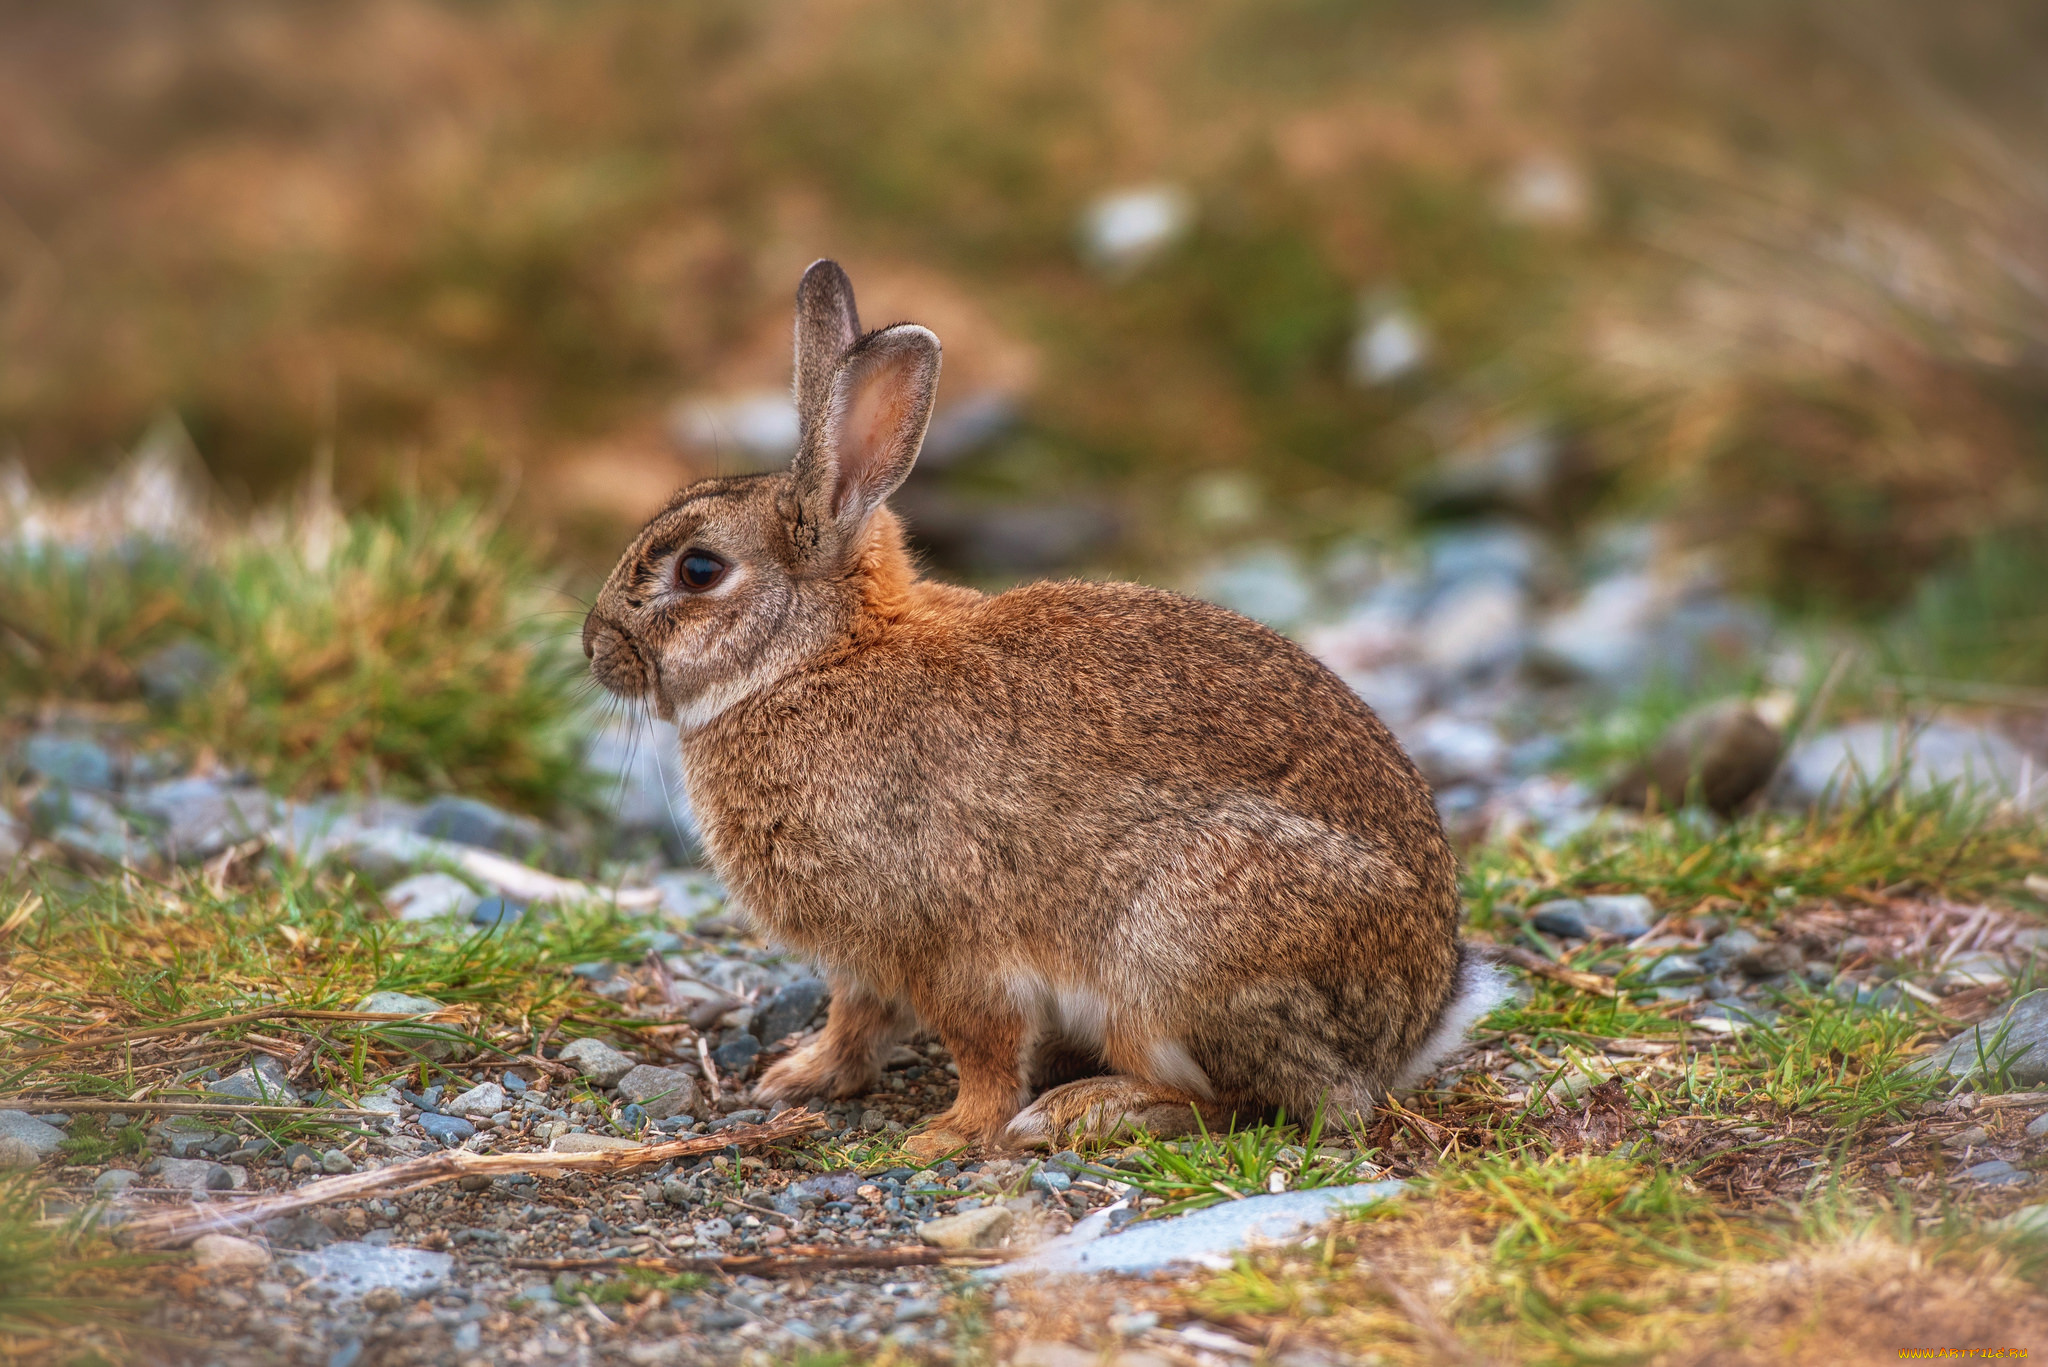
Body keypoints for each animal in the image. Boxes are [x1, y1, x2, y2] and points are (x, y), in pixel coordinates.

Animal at [581, 259, 1507, 1155]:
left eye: (699, 569)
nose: (593, 648)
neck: (818, 656)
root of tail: (1417, 1021)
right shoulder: (866, 957)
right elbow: (857, 1019)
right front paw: (799, 1077)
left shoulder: (951, 942)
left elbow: (983, 1045)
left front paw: (949, 1134)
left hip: (1173, 953)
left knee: (1259, 1100)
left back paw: (1080, 1113)